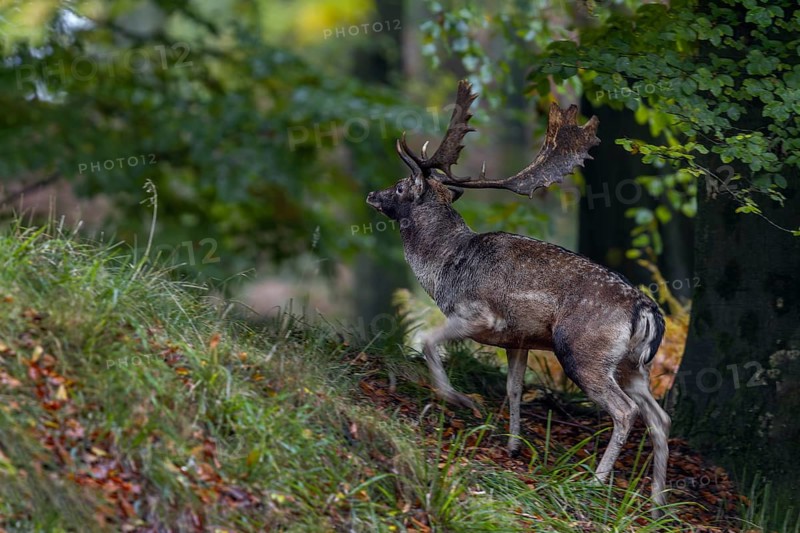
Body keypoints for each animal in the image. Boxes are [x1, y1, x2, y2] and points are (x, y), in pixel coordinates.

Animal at [366, 81, 670, 510]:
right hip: (633, 365)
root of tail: (646, 310)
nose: (372, 195)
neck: (443, 268)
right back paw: (658, 499)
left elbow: (426, 340)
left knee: (626, 412)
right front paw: (511, 445)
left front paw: (461, 400)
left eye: (400, 185)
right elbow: (513, 389)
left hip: (584, 352)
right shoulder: (517, 339)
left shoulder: (477, 314)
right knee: (660, 417)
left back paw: (595, 481)